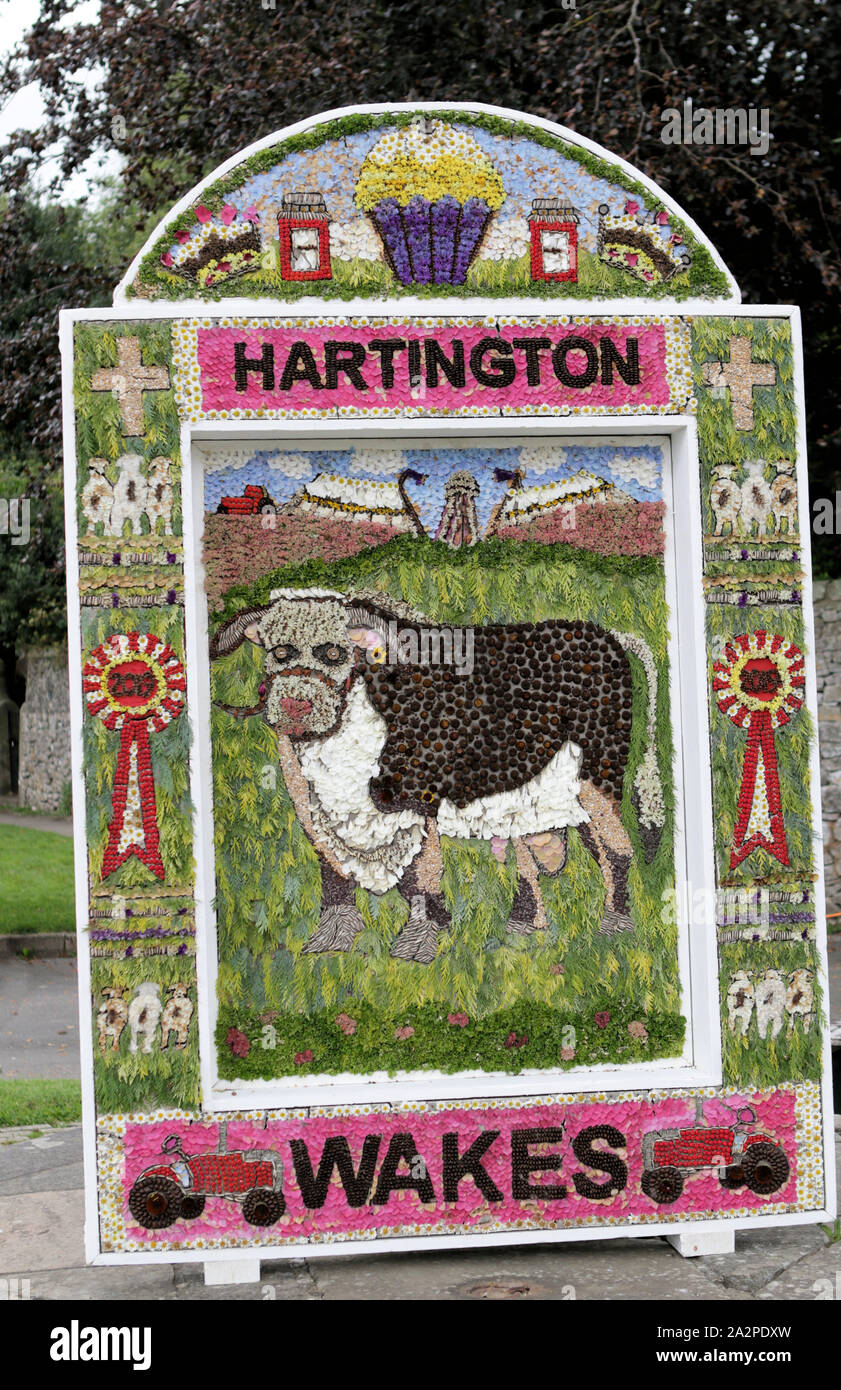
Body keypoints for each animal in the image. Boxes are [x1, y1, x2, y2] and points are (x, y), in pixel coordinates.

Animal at [209, 589, 661, 967]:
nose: (294, 706)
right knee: (556, 855)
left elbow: (423, 878)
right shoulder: (313, 807)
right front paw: (331, 941)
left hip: (598, 776)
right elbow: (334, 875)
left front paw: (418, 944)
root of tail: (607, 635)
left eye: (335, 652)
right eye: (279, 651)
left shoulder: (418, 798)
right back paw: (523, 926)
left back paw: (616, 927)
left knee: (616, 850)